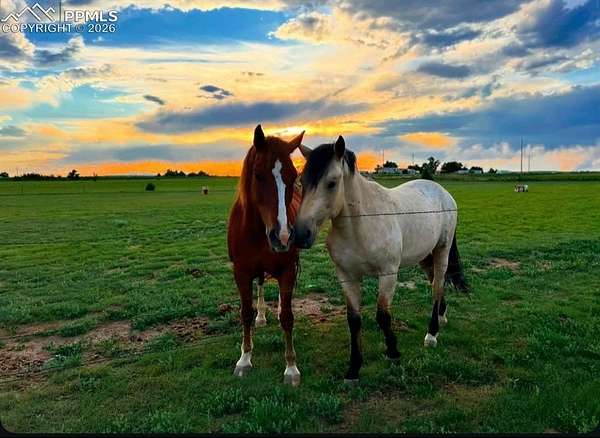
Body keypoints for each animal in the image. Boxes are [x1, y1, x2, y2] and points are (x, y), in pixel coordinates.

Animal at [227, 124, 304, 386]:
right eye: (258, 175)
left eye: (293, 175)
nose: (282, 237)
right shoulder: (241, 272)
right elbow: (245, 314)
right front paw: (244, 360)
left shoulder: (287, 269)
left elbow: (288, 317)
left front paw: (291, 368)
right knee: (260, 283)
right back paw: (261, 316)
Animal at [293, 136, 468, 382]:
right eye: (302, 181)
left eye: (332, 183)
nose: (301, 235)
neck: (362, 224)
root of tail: (442, 192)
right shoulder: (347, 277)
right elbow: (354, 320)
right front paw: (354, 368)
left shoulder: (388, 274)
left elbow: (383, 315)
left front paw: (393, 352)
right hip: (426, 256)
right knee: (437, 283)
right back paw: (442, 317)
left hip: (442, 250)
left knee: (437, 287)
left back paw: (432, 334)